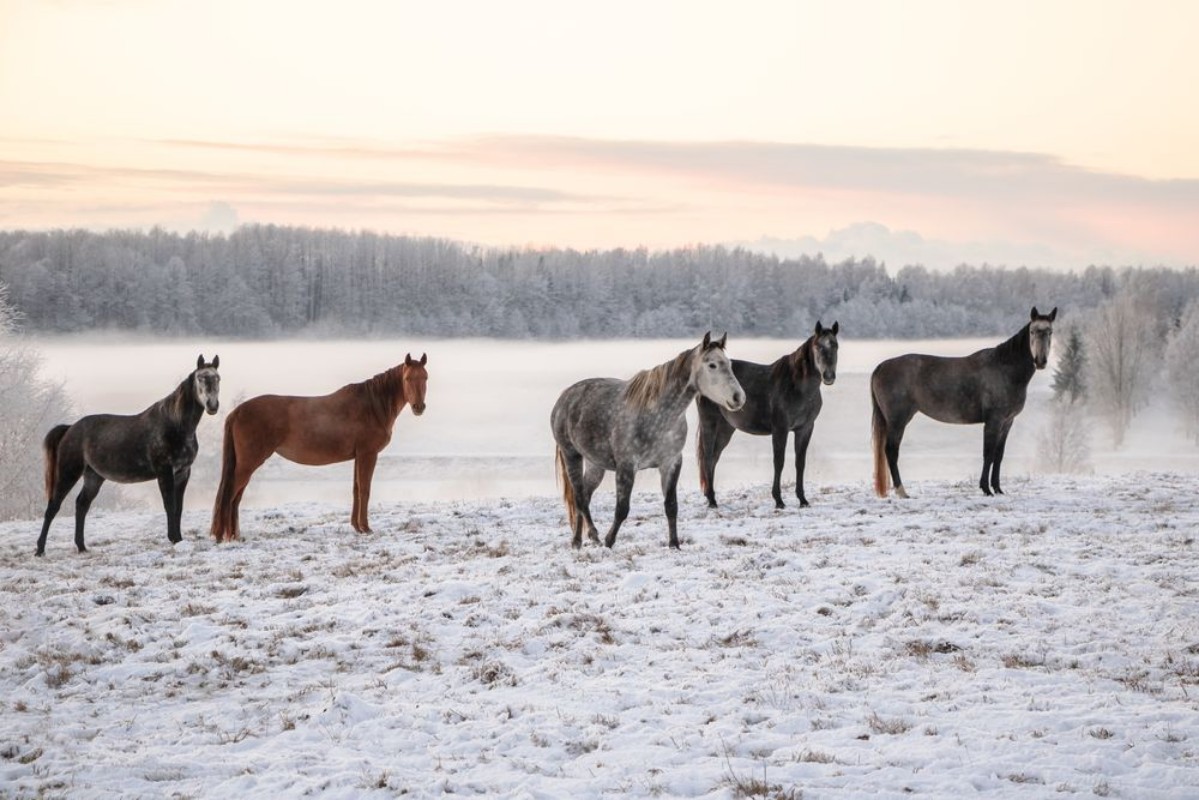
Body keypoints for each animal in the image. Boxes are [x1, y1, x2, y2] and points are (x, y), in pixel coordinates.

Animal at [35, 354, 221, 556]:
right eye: (201, 378)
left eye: (218, 378)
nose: (212, 406)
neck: (175, 425)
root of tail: (70, 429)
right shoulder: (165, 472)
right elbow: (169, 505)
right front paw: (173, 538)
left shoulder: (183, 473)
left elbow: (178, 507)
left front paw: (179, 539)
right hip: (68, 473)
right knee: (53, 506)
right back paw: (40, 549)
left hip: (94, 476)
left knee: (81, 505)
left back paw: (82, 547)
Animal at [209, 353, 428, 542]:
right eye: (407, 378)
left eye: (425, 377)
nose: (419, 407)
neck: (372, 406)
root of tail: (237, 412)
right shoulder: (368, 454)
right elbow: (365, 490)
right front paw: (366, 528)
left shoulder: (358, 457)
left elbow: (356, 489)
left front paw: (356, 527)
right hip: (248, 464)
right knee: (229, 496)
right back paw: (224, 536)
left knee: (236, 497)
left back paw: (235, 535)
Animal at [551, 332, 744, 549]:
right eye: (712, 365)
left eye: (728, 363)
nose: (738, 397)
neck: (658, 415)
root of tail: (564, 398)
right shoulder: (626, 467)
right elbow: (622, 508)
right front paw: (609, 541)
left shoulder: (670, 463)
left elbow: (671, 506)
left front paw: (674, 544)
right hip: (572, 455)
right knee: (579, 498)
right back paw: (590, 536)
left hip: (595, 464)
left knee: (584, 495)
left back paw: (578, 540)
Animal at [696, 320, 839, 509]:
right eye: (818, 347)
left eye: (835, 346)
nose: (829, 376)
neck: (797, 386)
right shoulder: (780, 429)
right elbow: (779, 462)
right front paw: (778, 500)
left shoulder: (805, 429)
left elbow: (800, 463)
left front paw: (802, 500)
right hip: (710, 424)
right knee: (707, 458)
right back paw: (712, 501)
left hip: (726, 428)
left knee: (714, 458)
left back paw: (710, 497)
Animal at [871, 307, 1057, 498]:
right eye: (1032, 331)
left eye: (1050, 331)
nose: (1040, 361)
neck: (1004, 368)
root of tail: (881, 367)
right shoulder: (994, 421)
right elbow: (988, 454)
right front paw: (986, 489)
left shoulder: (1007, 422)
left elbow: (998, 456)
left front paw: (998, 489)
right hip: (898, 420)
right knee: (891, 451)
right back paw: (902, 492)